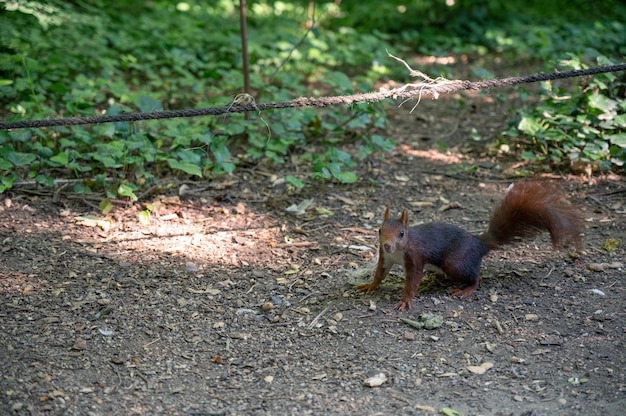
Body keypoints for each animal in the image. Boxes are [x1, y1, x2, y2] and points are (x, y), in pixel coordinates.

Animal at [356, 180, 580, 310]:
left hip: (455, 263)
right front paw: (369, 285)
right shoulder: (385, 258)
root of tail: (479, 243)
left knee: (476, 277)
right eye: (379, 231)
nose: (387, 245)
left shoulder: (414, 257)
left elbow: (412, 281)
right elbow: (380, 274)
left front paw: (405, 300)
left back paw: (465, 289)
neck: (398, 252)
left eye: (401, 234)